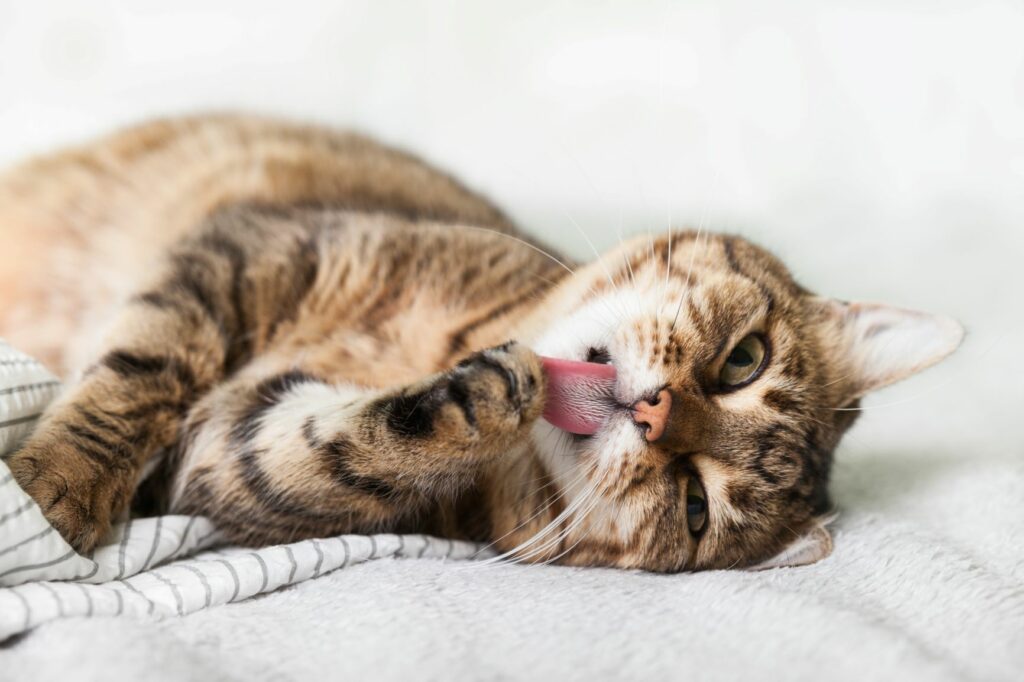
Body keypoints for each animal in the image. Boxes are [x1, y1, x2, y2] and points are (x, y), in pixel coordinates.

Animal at [0, 115, 962, 569]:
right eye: (744, 362)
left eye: (695, 505)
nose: (655, 415)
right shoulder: (251, 250)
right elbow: (143, 371)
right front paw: (57, 487)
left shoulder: (228, 456)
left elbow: (328, 455)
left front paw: (482, 400)